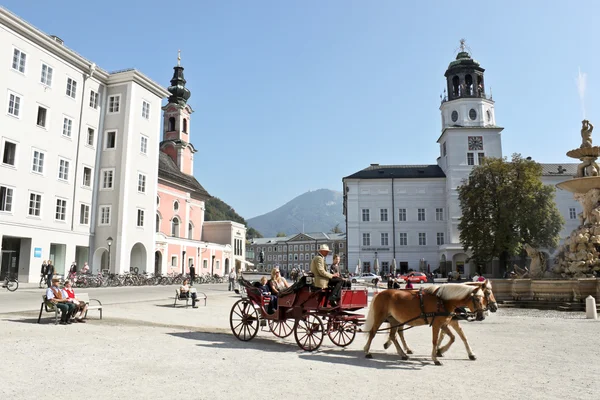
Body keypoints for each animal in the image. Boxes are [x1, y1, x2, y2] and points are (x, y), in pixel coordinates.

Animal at [360, 282, 488, 364]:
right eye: (477, 299)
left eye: (483, 298)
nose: (482, 316)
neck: (443, 301)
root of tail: (380, 293)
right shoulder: (437, 324)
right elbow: (435, 340)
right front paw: (435, 358)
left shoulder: (444, 324)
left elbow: (453, 337)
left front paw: (440, 350)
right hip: (380, 317)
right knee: (373, 332)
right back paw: (367, 351)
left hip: (394, 320)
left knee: (393, 335)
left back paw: (402, 353)